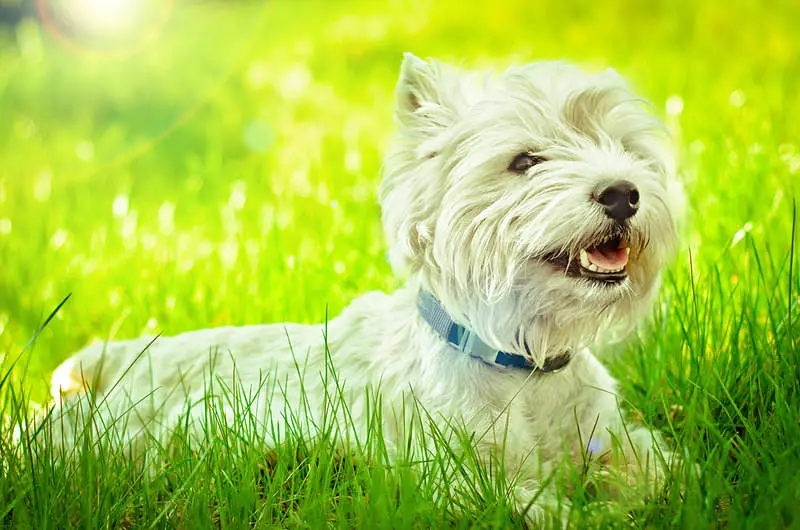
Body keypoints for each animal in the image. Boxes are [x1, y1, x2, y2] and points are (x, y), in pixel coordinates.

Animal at [45, 52, 680, 520]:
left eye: (627, 150)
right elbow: (541, 508)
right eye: (524, 161)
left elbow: (665, 472)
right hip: (121, 434)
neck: (524, 361)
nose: (623, 193)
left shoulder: (612, 439)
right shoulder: (458, 474)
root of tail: (115, 361)